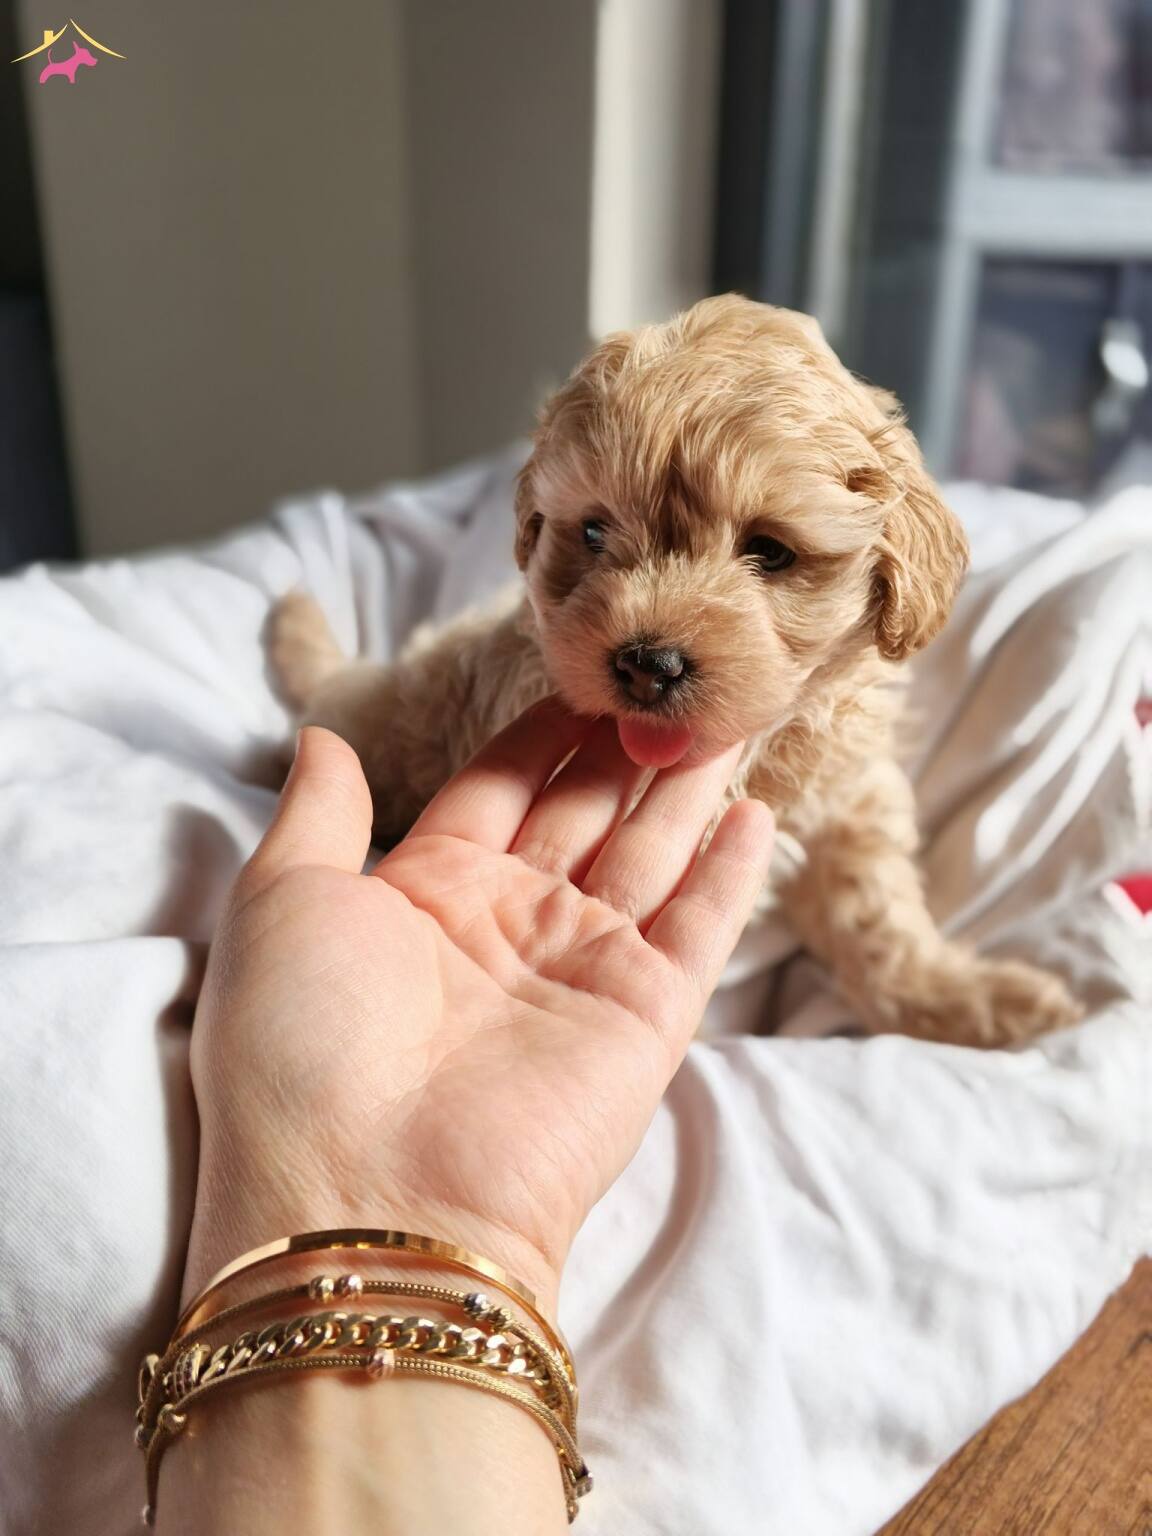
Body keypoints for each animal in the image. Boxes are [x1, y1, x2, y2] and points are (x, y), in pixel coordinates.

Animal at [269, 295, 1080, 1047]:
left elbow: (883, 928)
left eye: (771, 551)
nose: (646, 664)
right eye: (594, 532)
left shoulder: (849, 804)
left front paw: (976, 1000)